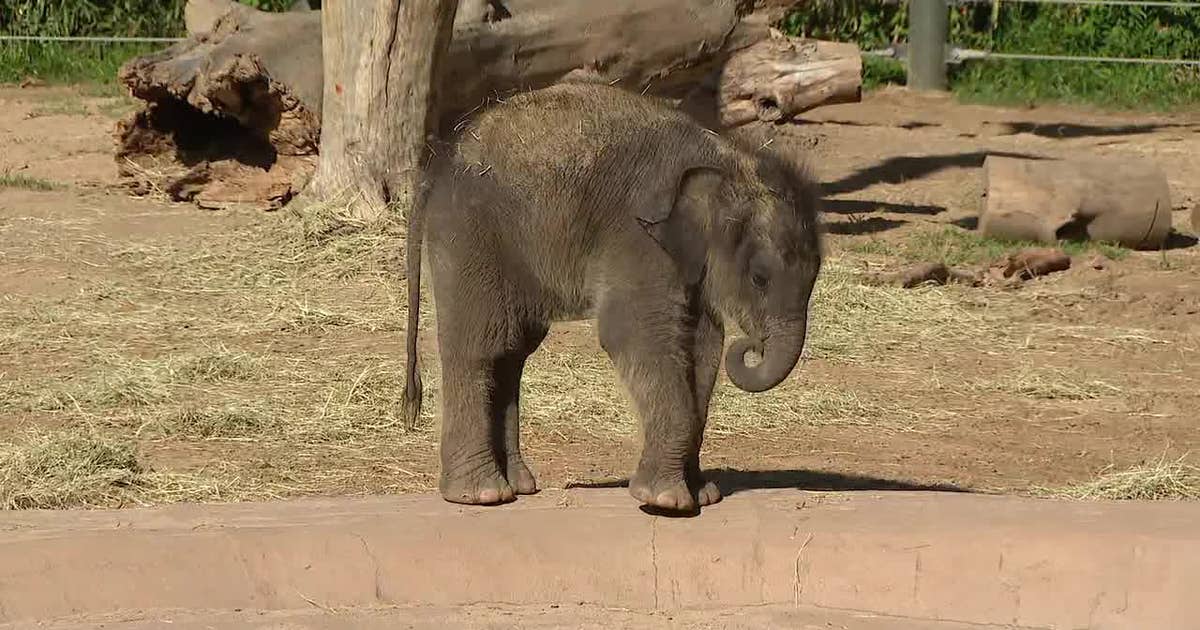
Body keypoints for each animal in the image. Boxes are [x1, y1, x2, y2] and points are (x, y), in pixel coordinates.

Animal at [402, 82, 823, 513]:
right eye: (760, 278)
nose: (752, 345)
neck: (727, 158)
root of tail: (436, 168)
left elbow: (703, 346)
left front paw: (703, 494)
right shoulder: (637, 238)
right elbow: (635, 335)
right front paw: (666, 502)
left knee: (512, 352)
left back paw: (518, 486)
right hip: (470, 236)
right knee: (481, 346)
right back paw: (482, 495)